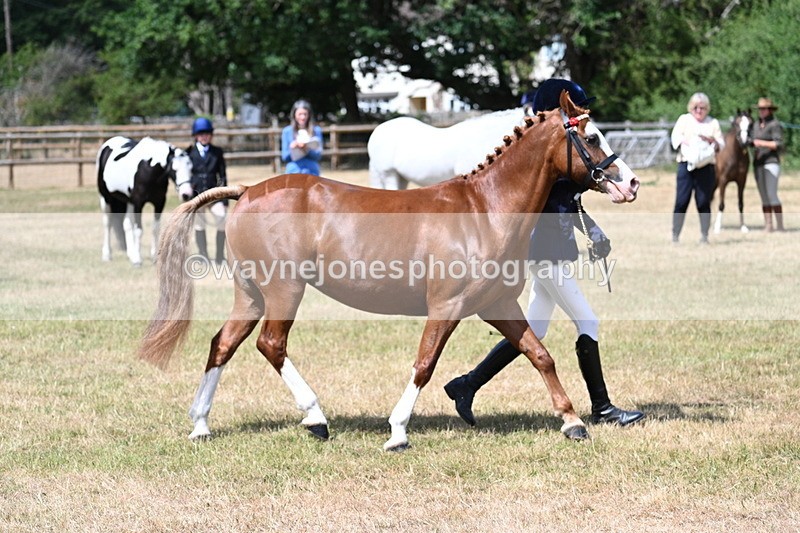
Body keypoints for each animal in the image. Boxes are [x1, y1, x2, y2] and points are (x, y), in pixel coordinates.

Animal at [97, 136, 194, 266]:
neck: (149, 169)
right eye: (174, 169)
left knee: (127, 224)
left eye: (191, 168)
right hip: (106, 198)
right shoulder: (138, 204)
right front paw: (137, 259)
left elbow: (155, 228)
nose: (186, 194)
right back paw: (107, 255)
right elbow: (139, 230)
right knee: (108, 223)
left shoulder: (159, 203)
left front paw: (154, 257)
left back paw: (130, 254)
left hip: (128, 202)